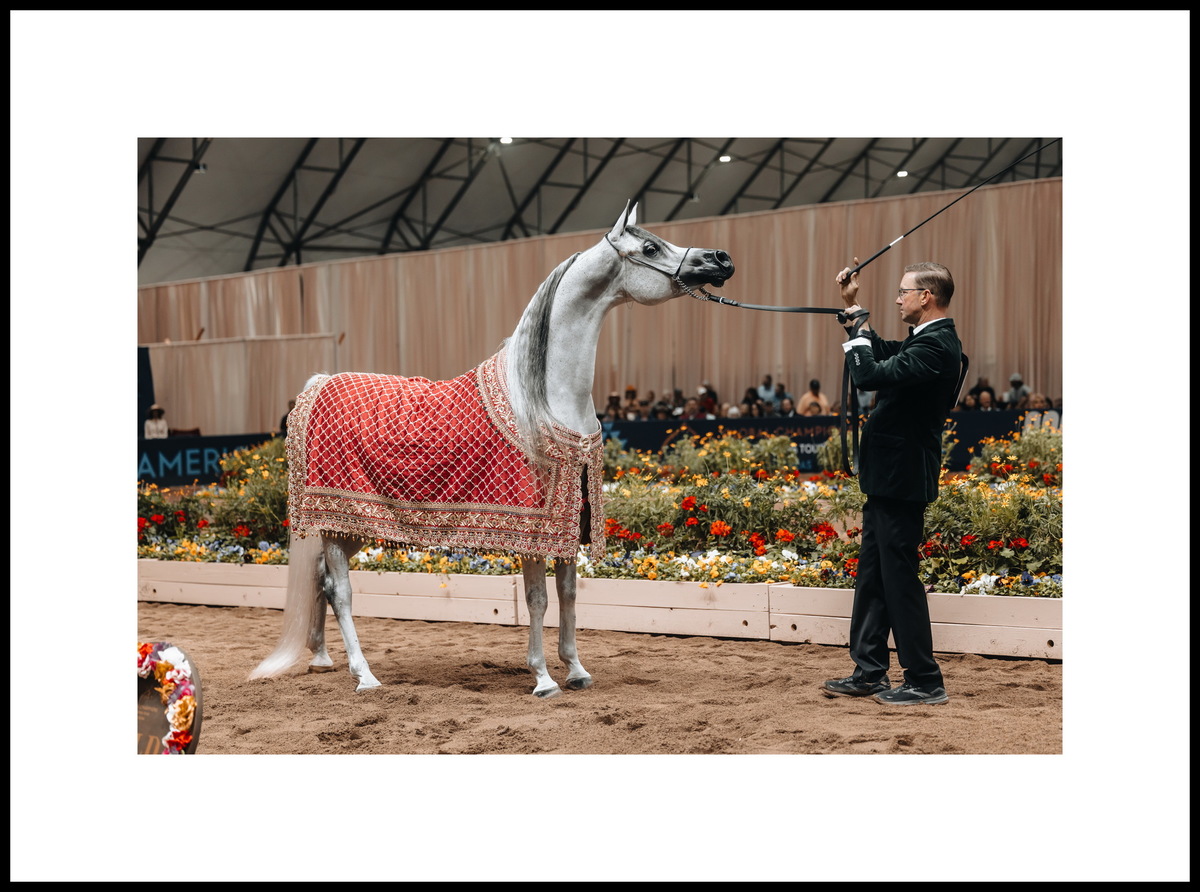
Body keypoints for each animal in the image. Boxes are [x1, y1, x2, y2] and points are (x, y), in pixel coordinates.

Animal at [248, 200, 735, 696]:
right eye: (651, 247)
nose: (720, 259)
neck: (544, 397)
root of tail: (319, 385)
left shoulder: (569, 524)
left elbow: (569, 594)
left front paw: (576, 669)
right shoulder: (535, 530)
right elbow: (538, 599)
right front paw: (542, 677)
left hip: (349, 526)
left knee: (321, 580)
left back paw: (322, 658)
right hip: (335, 520)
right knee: (341, 591)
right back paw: (364, 675)